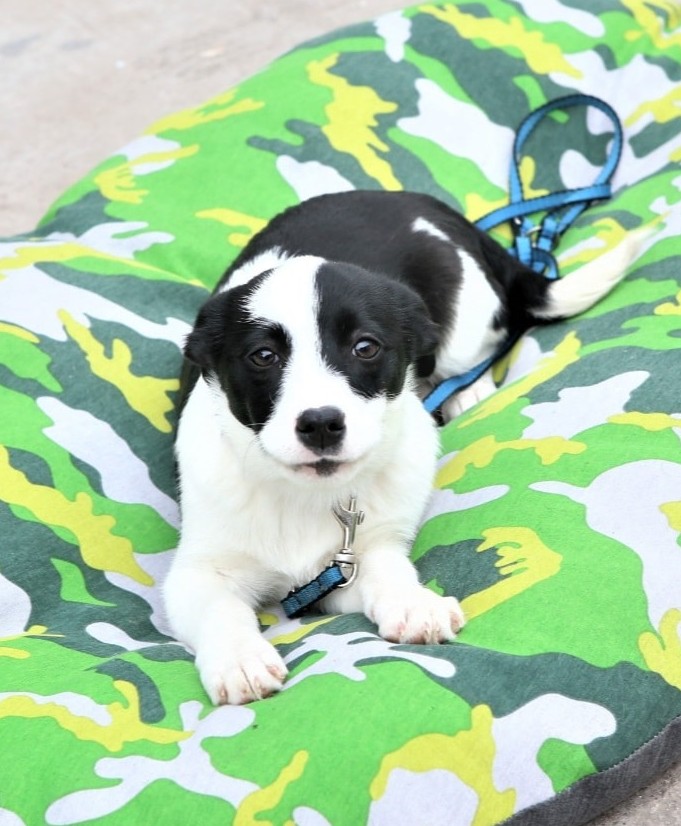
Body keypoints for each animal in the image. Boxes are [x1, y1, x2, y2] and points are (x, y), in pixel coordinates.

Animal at [164, 190, 638, 705]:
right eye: (263, 357)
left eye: (366, 347)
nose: (321, 424)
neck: (306, 495)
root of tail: (423, 202)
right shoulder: (198, 572)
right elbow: (221, 609)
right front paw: (239, 659)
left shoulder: (359, 557)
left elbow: (386, 569)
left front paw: (414, 603)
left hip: (462, 319)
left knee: (466, 360)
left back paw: (467, 393)